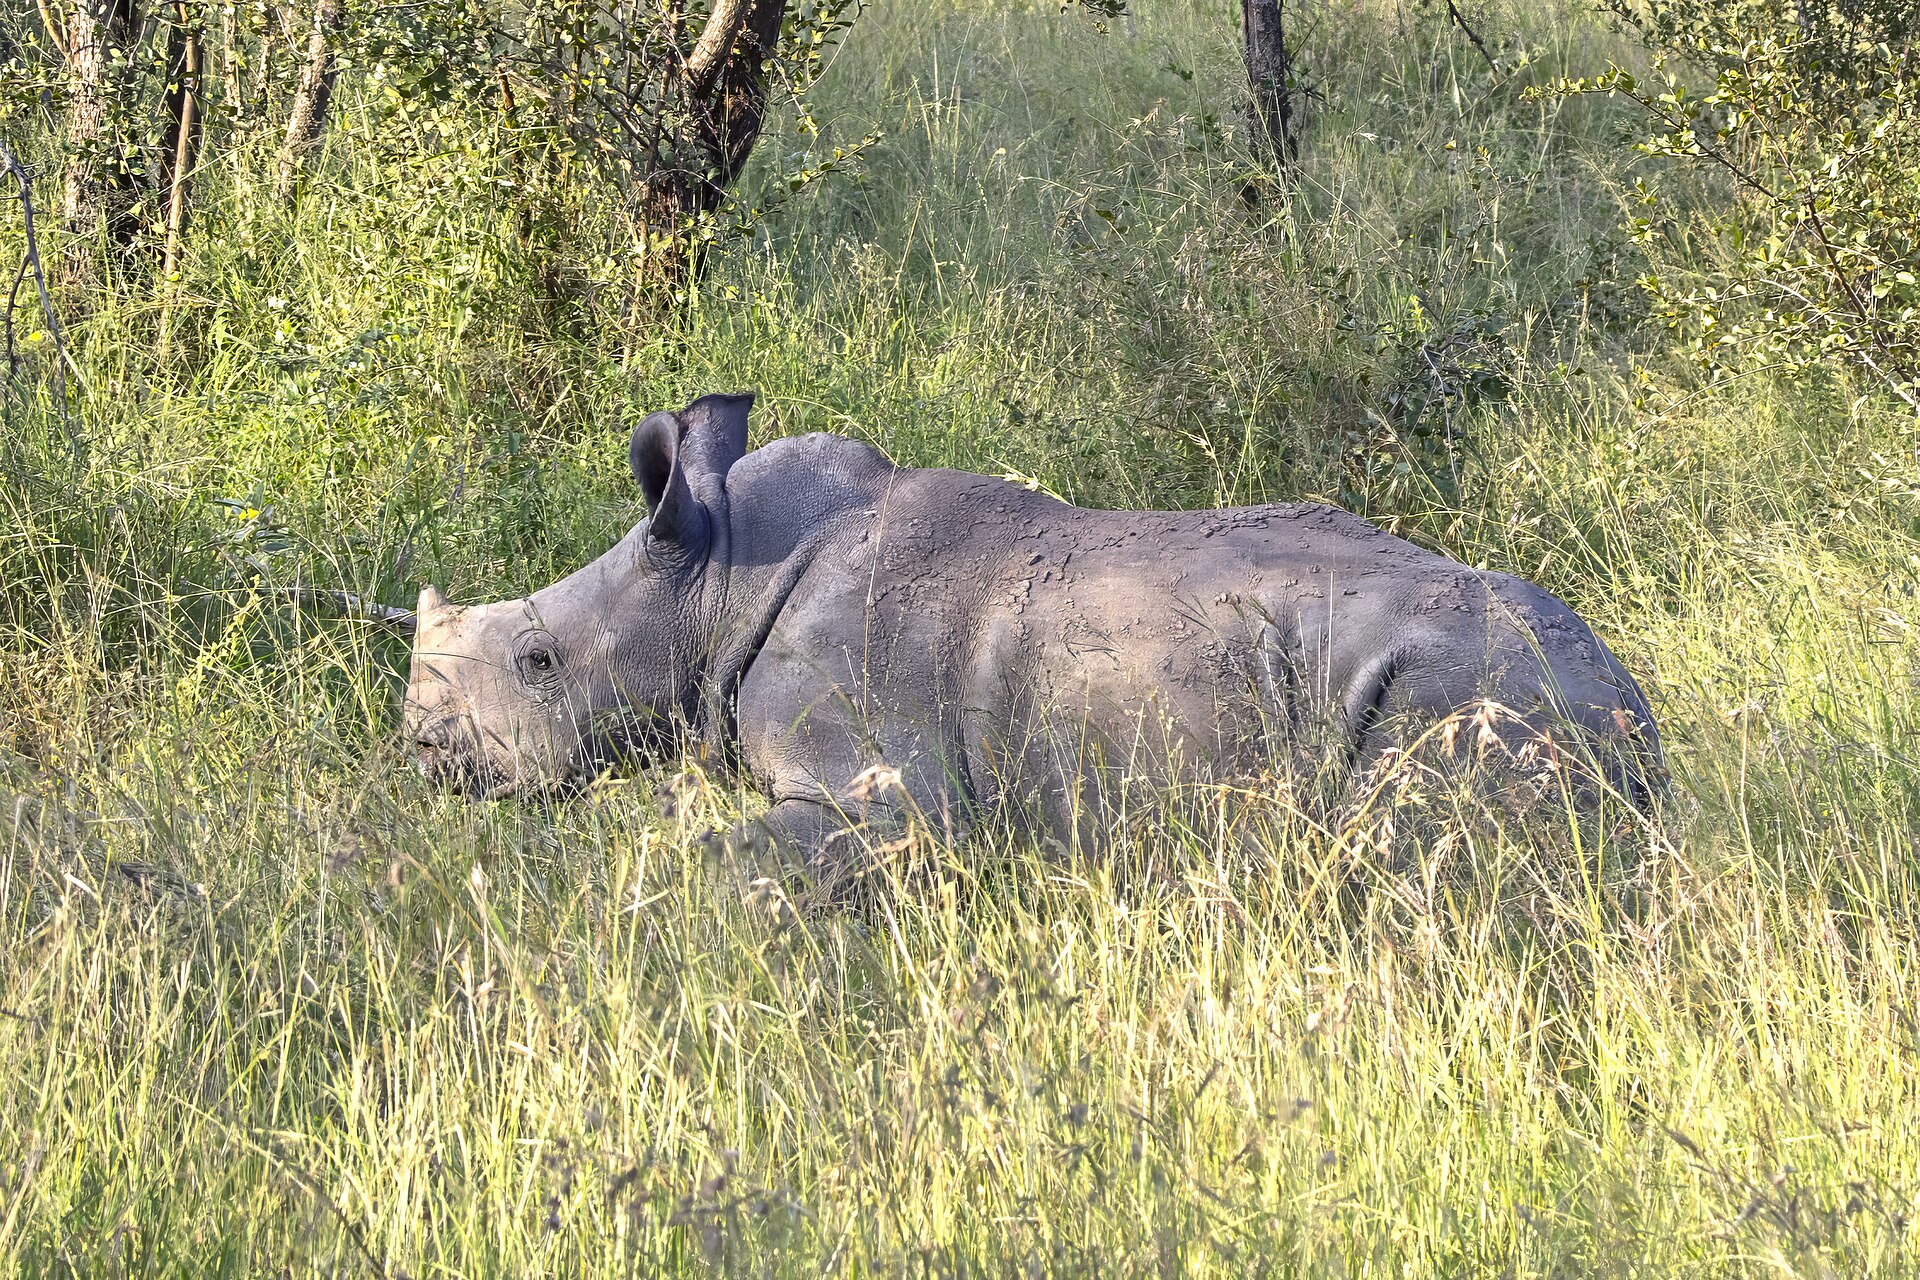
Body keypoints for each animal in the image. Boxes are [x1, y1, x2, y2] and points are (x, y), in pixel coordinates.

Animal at [402, 393, 1660, 860]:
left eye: (537, 658)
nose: (425, 751)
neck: (710, 577)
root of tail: (1638, 711)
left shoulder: (878, 792)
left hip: (1462, 680)